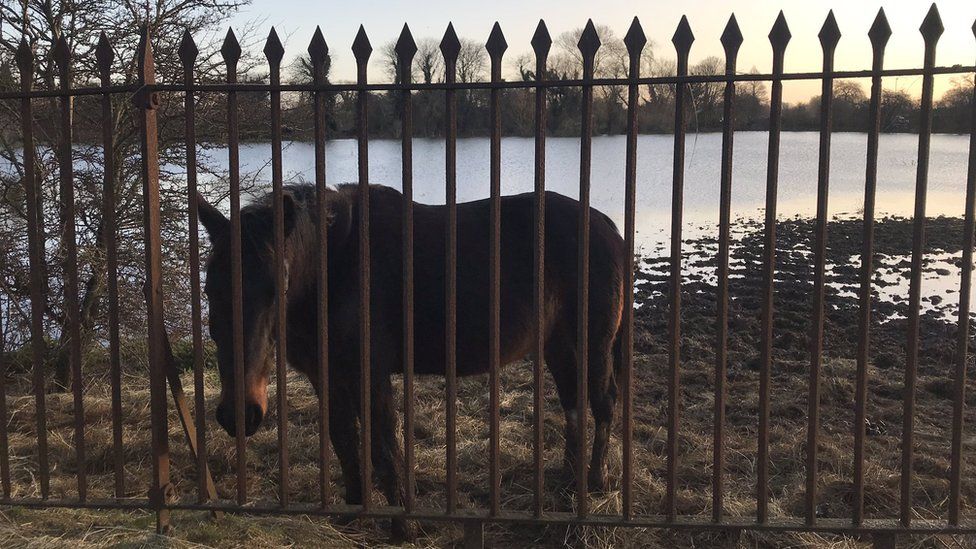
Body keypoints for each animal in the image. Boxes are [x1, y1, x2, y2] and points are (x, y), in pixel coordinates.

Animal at [196, 182, 624, 536]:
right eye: (209, 287)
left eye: (277, 287)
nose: (239, 414)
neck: (335, 269)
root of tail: (605, 223)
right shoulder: (326, 375)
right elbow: (343, 438)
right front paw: (352, 513)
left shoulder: (370, 372)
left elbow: (384, 443)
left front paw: (405, 526)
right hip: (558, 345)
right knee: (573, 402)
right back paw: (569, 477)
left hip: (592, 343)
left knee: (603, 404)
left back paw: (597, 480)